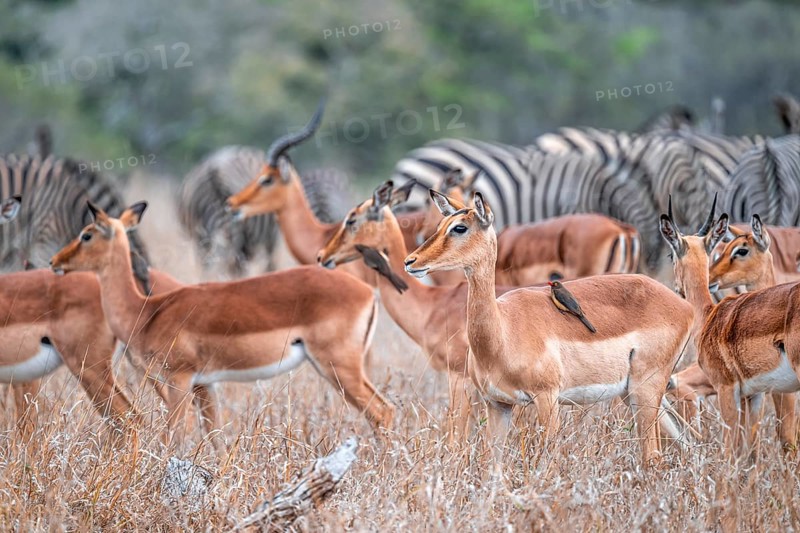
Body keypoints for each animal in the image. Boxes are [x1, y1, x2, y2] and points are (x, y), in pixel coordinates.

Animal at [49, 202, 394, 447]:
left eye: (87, 234)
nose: (55, 262)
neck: (146, 313)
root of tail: (368, 292)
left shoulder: (179, 380)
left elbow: (176, 434)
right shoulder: (206, 384)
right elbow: (214, 435)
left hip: (338, 367)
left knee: (382, 412)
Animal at [404, 190, 693, 466]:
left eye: (460, 227)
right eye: (440, 224)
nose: (411, 261)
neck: (503, 332)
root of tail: (683, 305)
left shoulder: (547, 398)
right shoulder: (497, 404)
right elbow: (492, 467)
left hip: (645, 389)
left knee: (653, 454)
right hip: (632, 392)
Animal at [660, 198, 800, 455]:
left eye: (671, 255)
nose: (677, 288)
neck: (709, 315)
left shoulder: (726, 389)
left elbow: (729, 451)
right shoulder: (754, 395)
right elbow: (750, 454)